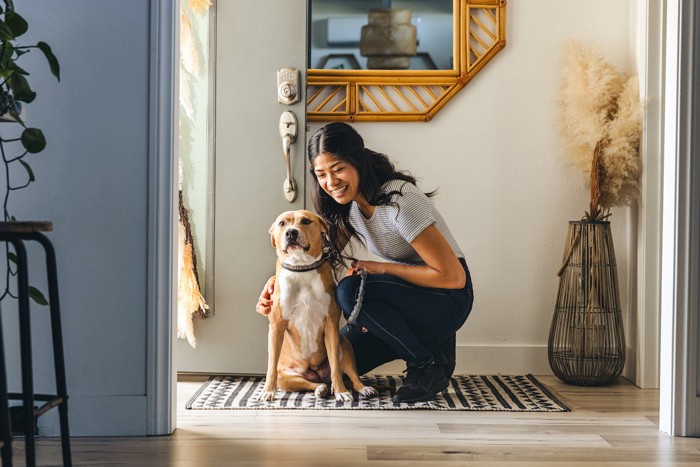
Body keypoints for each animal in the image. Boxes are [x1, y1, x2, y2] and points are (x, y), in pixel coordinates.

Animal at [258, 209, 378, 402]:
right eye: (282, 223)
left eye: (306, 221)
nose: (291, 232)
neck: (301, 268)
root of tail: (317, 374)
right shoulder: (276, 327)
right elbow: (270, 367)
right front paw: (267, 391)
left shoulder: (331, 325)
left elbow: (335, 367)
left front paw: (341, 392)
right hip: (287, 377)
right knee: (309, 383)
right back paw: (321, 388)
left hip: (344, 346)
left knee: (351, 376)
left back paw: (361, 388)